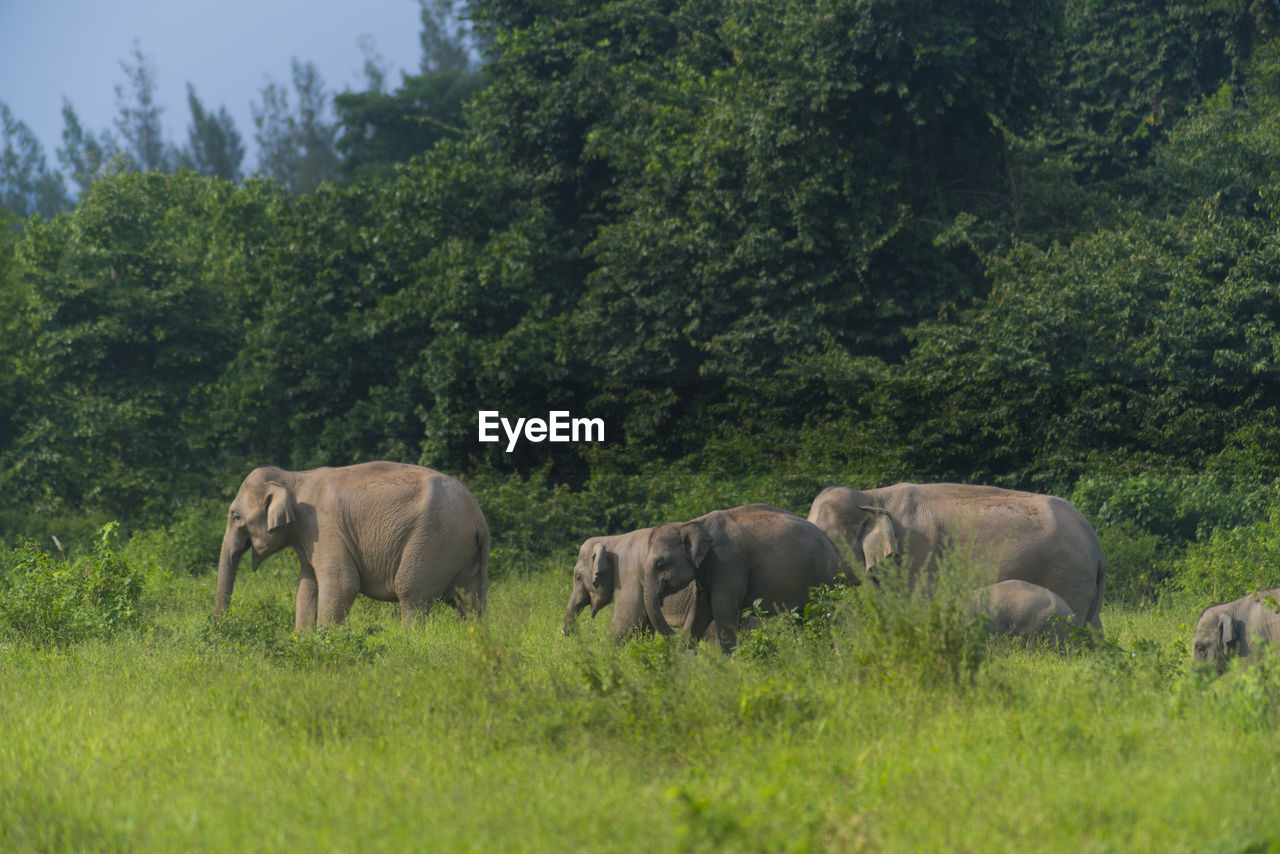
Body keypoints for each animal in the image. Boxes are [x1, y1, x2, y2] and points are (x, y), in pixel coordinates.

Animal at [217, 463, 486, 632]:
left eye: (236, 517)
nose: (220, 623)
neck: (294, 478)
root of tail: (478, 516)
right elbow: (307, 585)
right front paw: (302, 638)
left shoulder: (324, 527)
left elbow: (342, 582)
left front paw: (326, 640)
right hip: (463, 551)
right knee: (469, 603)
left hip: (434, 541)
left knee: (412, 593)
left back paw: (408, 639)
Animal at [565, 504, 844, 650]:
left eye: (577, 577)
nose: (567, 642)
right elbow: (702, 609)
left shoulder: (728, 563)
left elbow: (627, 622)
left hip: (821, 577)